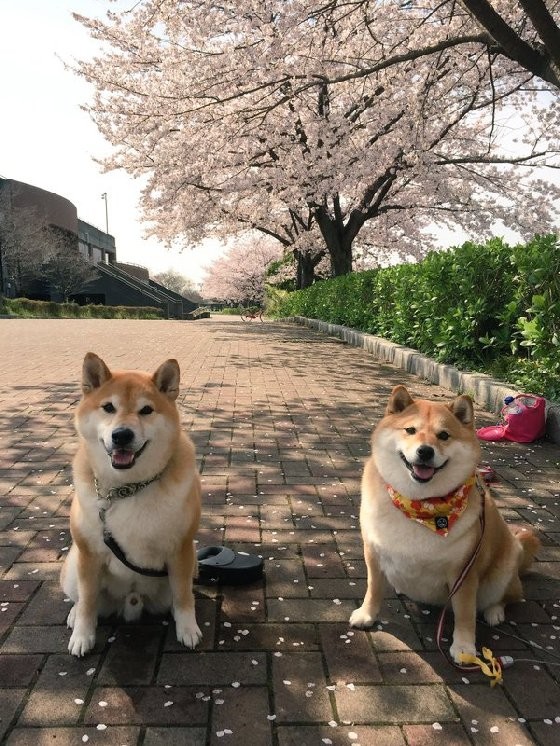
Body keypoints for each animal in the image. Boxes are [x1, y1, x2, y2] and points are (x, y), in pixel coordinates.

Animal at [60, 352, 201, 652]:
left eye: (146, 410)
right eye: (108, 407)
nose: (122, 435)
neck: (128, 488)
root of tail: (131, 602)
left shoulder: (181, 549)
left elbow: (184, 596)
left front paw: (188, 628)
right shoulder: (89, 555)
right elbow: (87, 602)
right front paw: (82, 636)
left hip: (192, 563)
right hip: (74, 563)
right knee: (80, 599)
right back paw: (74, 616)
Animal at [350, 386, 540, 660]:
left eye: (443, 435)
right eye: (410, 430)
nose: (425, 451)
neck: (422, 505)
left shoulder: (464, 572)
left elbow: (465, 613)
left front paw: (464, 647)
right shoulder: (373, 552)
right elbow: (373, 588)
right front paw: (367, 615)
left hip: (505, 567)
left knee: (507, 596)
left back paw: (495, 612)